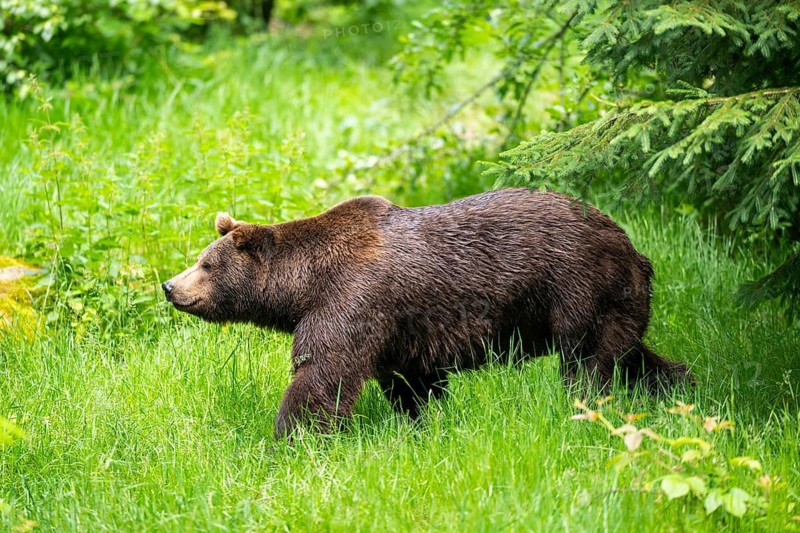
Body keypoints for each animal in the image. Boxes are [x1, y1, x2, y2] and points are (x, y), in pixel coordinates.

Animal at [162, 188, 691, 438]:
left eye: (206, 264)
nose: (170, 286)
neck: (304, 287)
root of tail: (632, 246)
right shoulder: (399, 331)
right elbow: (411, 384)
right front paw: (420, 423)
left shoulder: (352, 301)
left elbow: (323, 373)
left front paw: (291, 434)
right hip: (614, 302)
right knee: (633, 356)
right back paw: (677, 385)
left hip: (576, 288)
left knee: (587, 364)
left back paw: (586, 406)